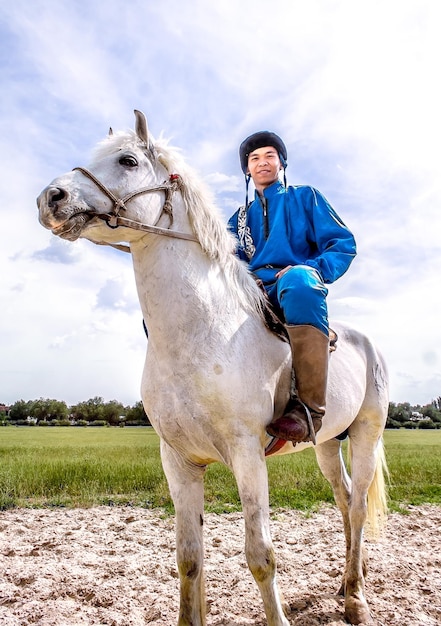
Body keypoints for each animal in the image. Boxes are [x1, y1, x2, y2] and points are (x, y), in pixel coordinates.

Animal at [37, 109, 388, 620]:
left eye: (127, 161)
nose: (50, 198)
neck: (199, 334)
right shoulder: (179, 461)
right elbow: (188, 557)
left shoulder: (247, 456)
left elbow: (261, 556)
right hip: (326, 443)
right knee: (343, 500)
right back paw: (344, 586)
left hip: (365, 433)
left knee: (359, 506)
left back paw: (357, 599)